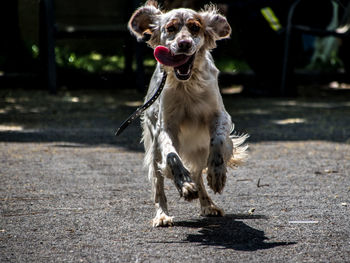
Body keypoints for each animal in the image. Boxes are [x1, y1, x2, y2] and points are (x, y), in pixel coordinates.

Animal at [127, 0, 247, 228]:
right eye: (170, 28)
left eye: (195, 27)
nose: (184, 44)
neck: (187, 85)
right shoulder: (165, 127)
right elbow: (172, 156)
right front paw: (184, 185)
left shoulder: (220, 117)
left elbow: (218, 141)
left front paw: (217, 175)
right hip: (153, 151)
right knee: (159, 185)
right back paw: (162, 215)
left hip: (199, 149)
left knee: (198, 173)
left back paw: (208, 204)